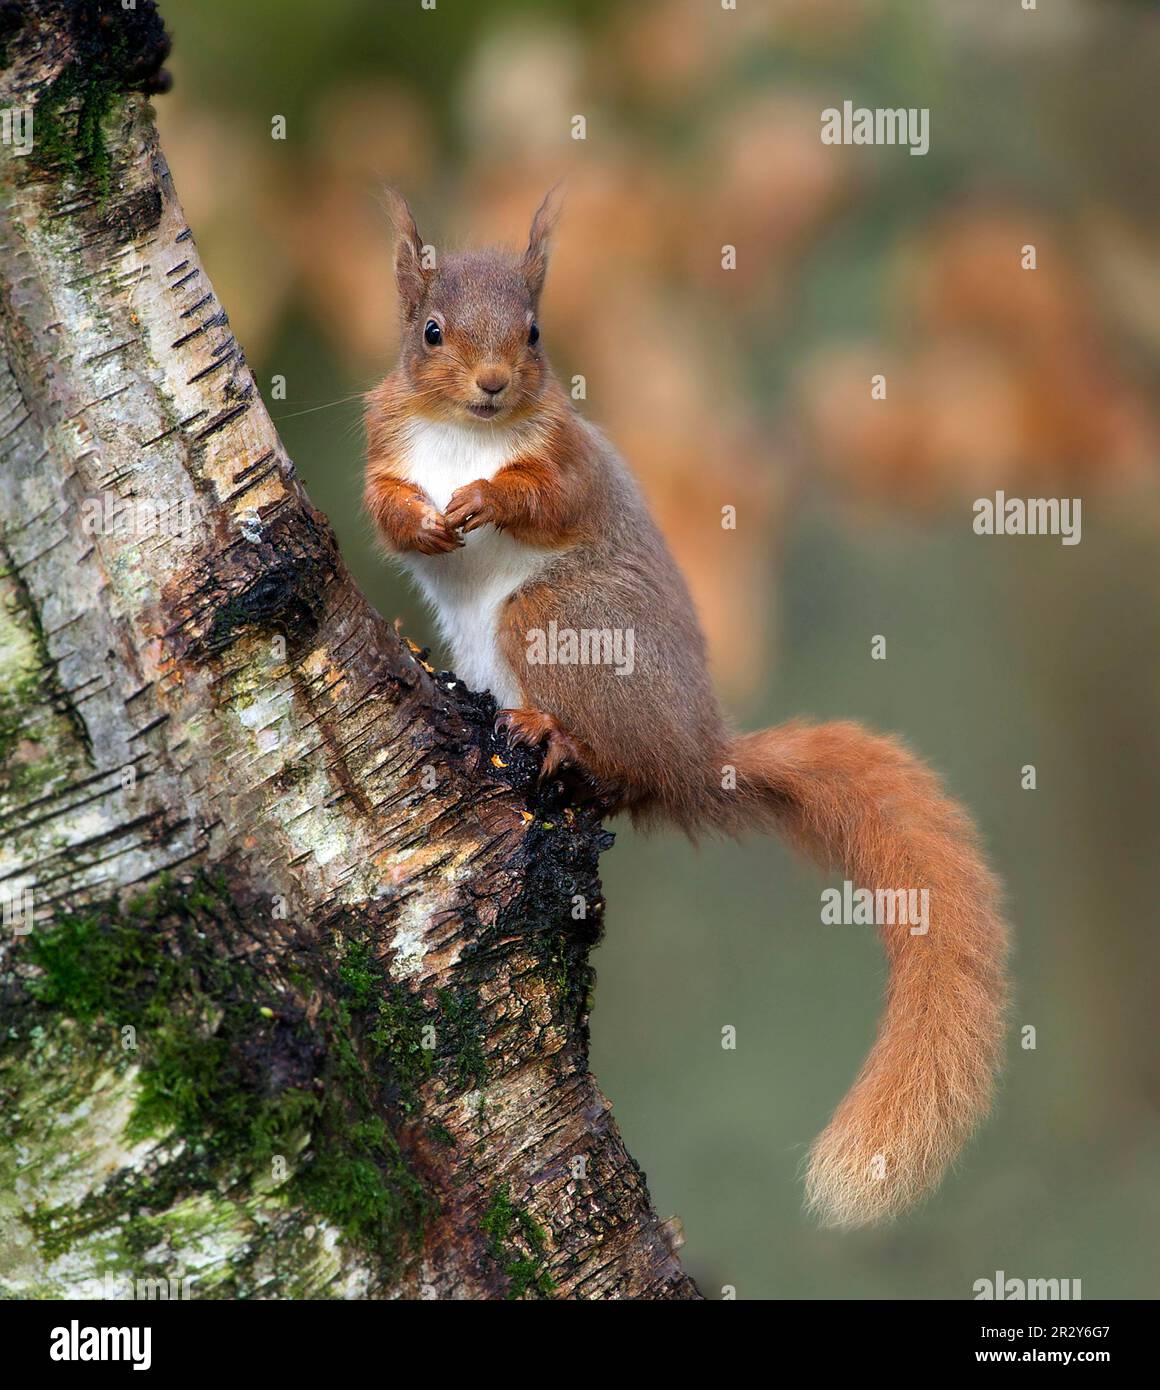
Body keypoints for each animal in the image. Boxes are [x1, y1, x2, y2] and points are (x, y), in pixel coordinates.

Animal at [363, 190, 1010, 1229]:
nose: (494, 387)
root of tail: (696, 751)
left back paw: (551, 731)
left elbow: (548, 497)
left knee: (617, 760)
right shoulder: (386, 440)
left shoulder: (570, 459)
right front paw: (425, 521)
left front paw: (485, 496)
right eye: (430, 331)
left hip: (560, 622)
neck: (463, 435)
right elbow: (385, 506)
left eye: (535, 332)